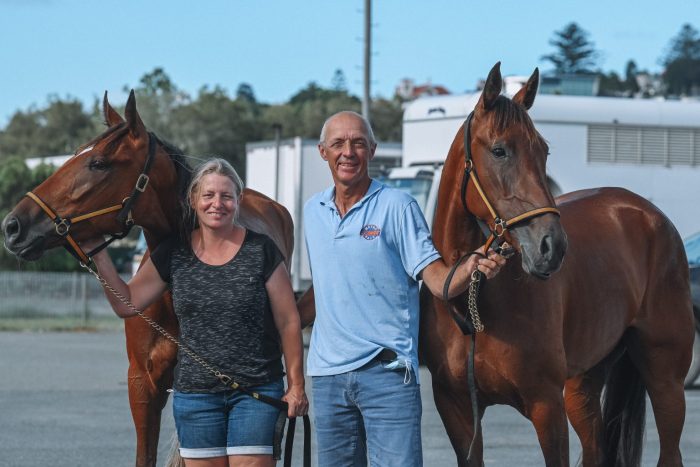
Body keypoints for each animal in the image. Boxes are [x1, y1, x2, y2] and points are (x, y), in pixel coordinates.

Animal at [422, 63, 696, 467]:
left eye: (544, 150)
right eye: (499, 150)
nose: (551, 246)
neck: (472, 299)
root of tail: (651, 215)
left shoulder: (546, 405)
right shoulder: (456, 409)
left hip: (665, 379)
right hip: (583, 385)